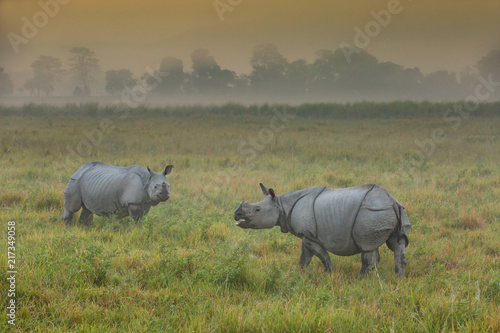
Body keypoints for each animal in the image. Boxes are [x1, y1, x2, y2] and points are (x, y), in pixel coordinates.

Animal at [234, 182, 410, 274]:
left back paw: (362, 279)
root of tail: (392, 202)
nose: (237, 213)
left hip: (372, 213)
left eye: (257, 210)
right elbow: (304, 256)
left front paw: (329, 273)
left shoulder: (309, 236)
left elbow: (322, 255)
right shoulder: (305, 234)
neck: (281, 205)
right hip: (391, 211)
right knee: (396, 243)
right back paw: (398, 278)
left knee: (367, 248)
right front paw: (301, 273)